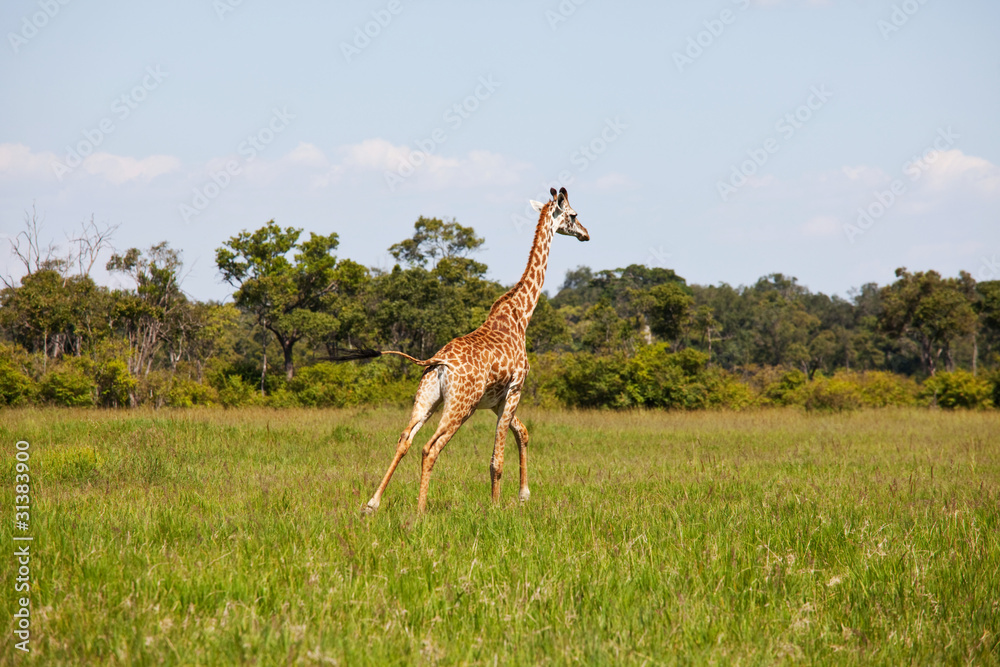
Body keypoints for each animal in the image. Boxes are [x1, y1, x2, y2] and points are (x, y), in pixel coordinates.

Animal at [334, 187, 589, 514]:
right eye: (573, 215)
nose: (586, 234)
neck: (521, 315)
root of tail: (437, 361)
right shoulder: (515, 389)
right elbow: (497, 459)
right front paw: (496, 508)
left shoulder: (495, 400)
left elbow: (522, 433)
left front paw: (524, 495)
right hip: (460, 405)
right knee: (429, 448)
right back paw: (420, 512)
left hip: (427, 399)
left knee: (404, 439)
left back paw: (372, 503)